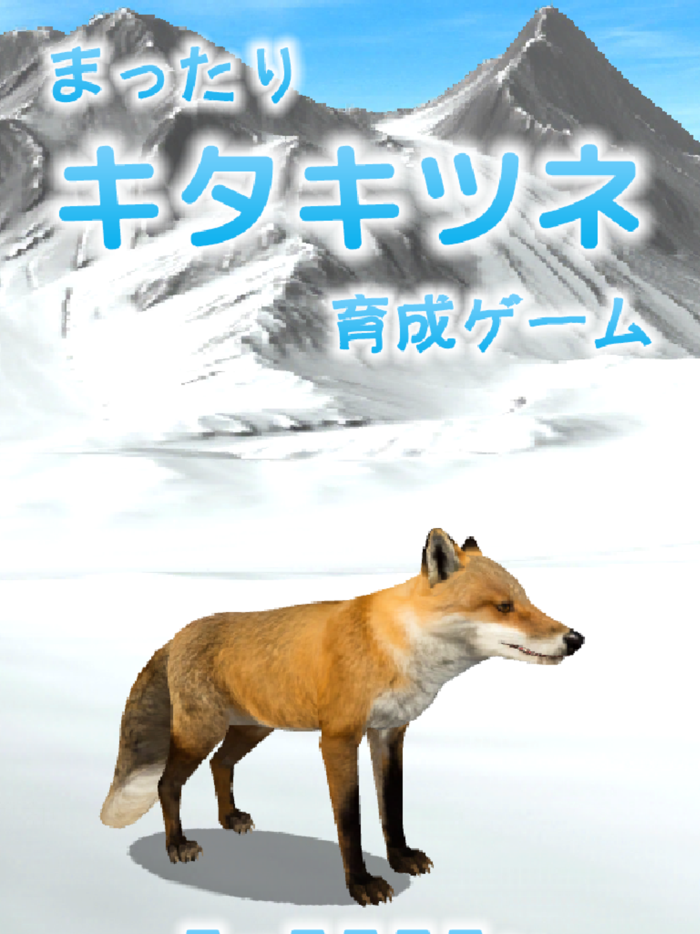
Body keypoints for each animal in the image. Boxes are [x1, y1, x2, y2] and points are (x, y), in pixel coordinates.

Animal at [101, 529, 584, 906]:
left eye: (527, 600)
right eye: (504, 607)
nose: (576, 638)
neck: (395, 645)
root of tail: (177, 634)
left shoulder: (388, 733)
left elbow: (393, 807)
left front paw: (400, 857)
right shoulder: (338, 738)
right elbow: (350, 820)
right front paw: (361, 884)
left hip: (252, 727)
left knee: (221, 764)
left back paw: (231, 818)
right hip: (202, 731)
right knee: (168, 783)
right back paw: (177, 844)